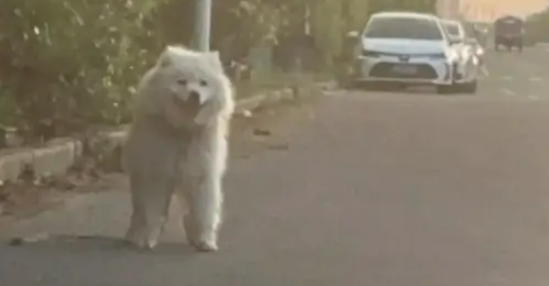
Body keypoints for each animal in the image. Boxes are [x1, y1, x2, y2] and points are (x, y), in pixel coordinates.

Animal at [122, 45, 233, 252]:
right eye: (182, 82)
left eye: (203, 83)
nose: (194, 95)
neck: (182, 129)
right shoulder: (156, 172)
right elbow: (151, 208)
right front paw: (146, 239)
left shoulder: (201, 172)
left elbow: (203, 209)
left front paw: (204, 240)